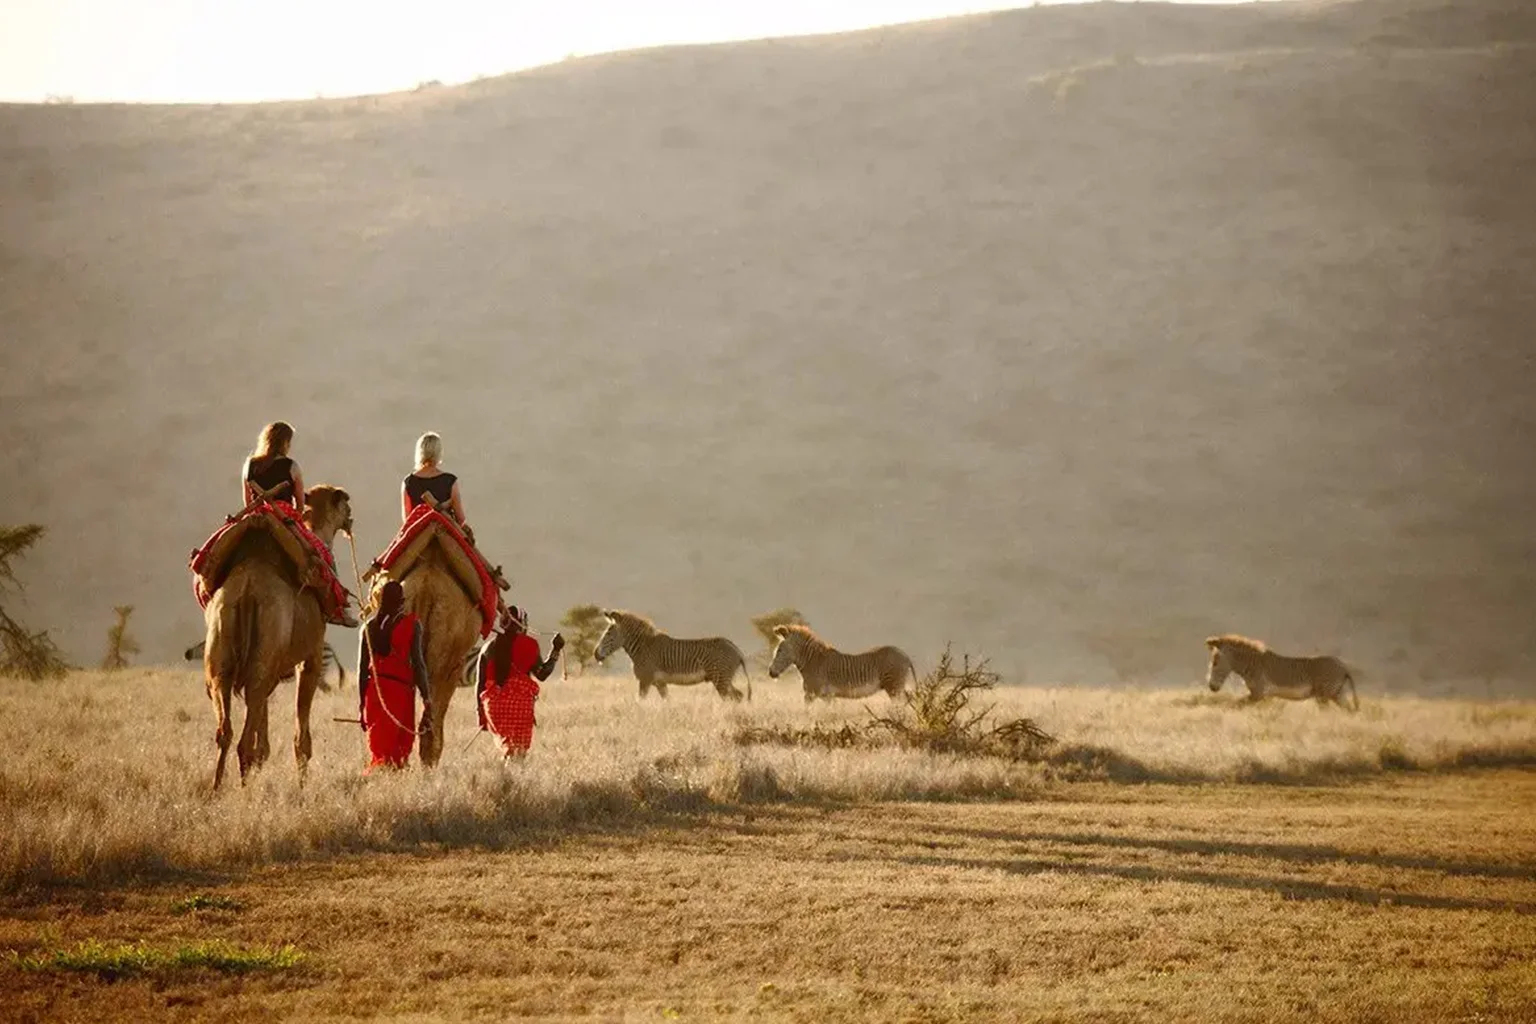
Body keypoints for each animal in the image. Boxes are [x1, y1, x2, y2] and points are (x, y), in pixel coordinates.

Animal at [201, 485, 353, 789]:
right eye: (344, 502)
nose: (351, 515)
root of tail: (247, 589)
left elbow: (263, 725)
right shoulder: (311, 656)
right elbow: (301, 730)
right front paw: (302, 784)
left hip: (222, 653)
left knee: (225, 728)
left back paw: (217, 788)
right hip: (266, 650)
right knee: (243, 739)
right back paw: (245, 791)